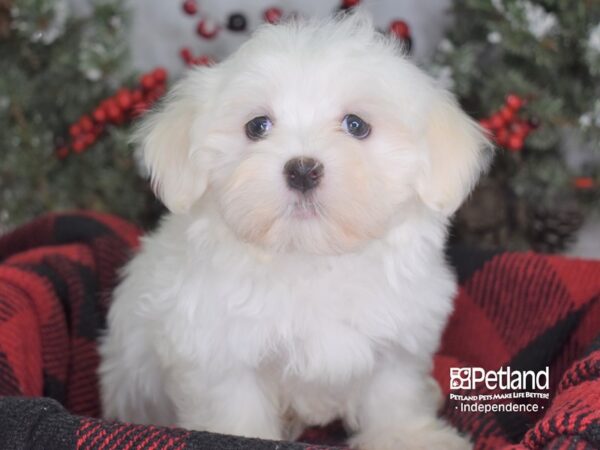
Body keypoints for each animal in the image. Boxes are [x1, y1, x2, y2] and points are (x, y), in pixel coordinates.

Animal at [99, 11, 492, 450]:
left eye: (356, 125)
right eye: (257, 126)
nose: (302, 169)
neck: (312, 258)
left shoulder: (398, 338)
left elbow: (394, 395)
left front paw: (408, 436)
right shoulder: (219, 352)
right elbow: (236, 412)